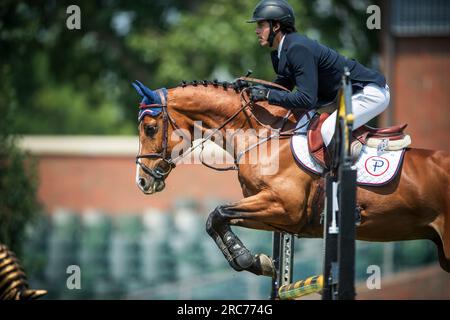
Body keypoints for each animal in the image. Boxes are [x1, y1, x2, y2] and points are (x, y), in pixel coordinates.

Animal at [134, 80, 450, 278]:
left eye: (150, 128)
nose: (143, 182)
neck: (265, 137)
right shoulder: (277, 215)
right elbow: (216, 220)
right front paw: (259, 263)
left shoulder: (284, 206)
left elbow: (218, 212)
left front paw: (248, 259)